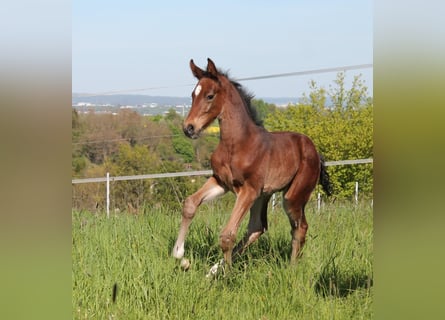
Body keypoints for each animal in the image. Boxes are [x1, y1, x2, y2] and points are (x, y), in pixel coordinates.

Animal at [172, 58, 332, 274]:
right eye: (192, 94)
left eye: (209, 95)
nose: (189, 128)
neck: (237, 144)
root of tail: (316, 152)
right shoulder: (221, 182)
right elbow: (190, 204)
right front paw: (179, 254)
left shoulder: (248, 189)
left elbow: (227, 234)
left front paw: (228, 276)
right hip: (263, 194)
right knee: (257, 227)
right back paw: (212, 271)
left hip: (292, 196)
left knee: (299, 227)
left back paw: (291, 268)